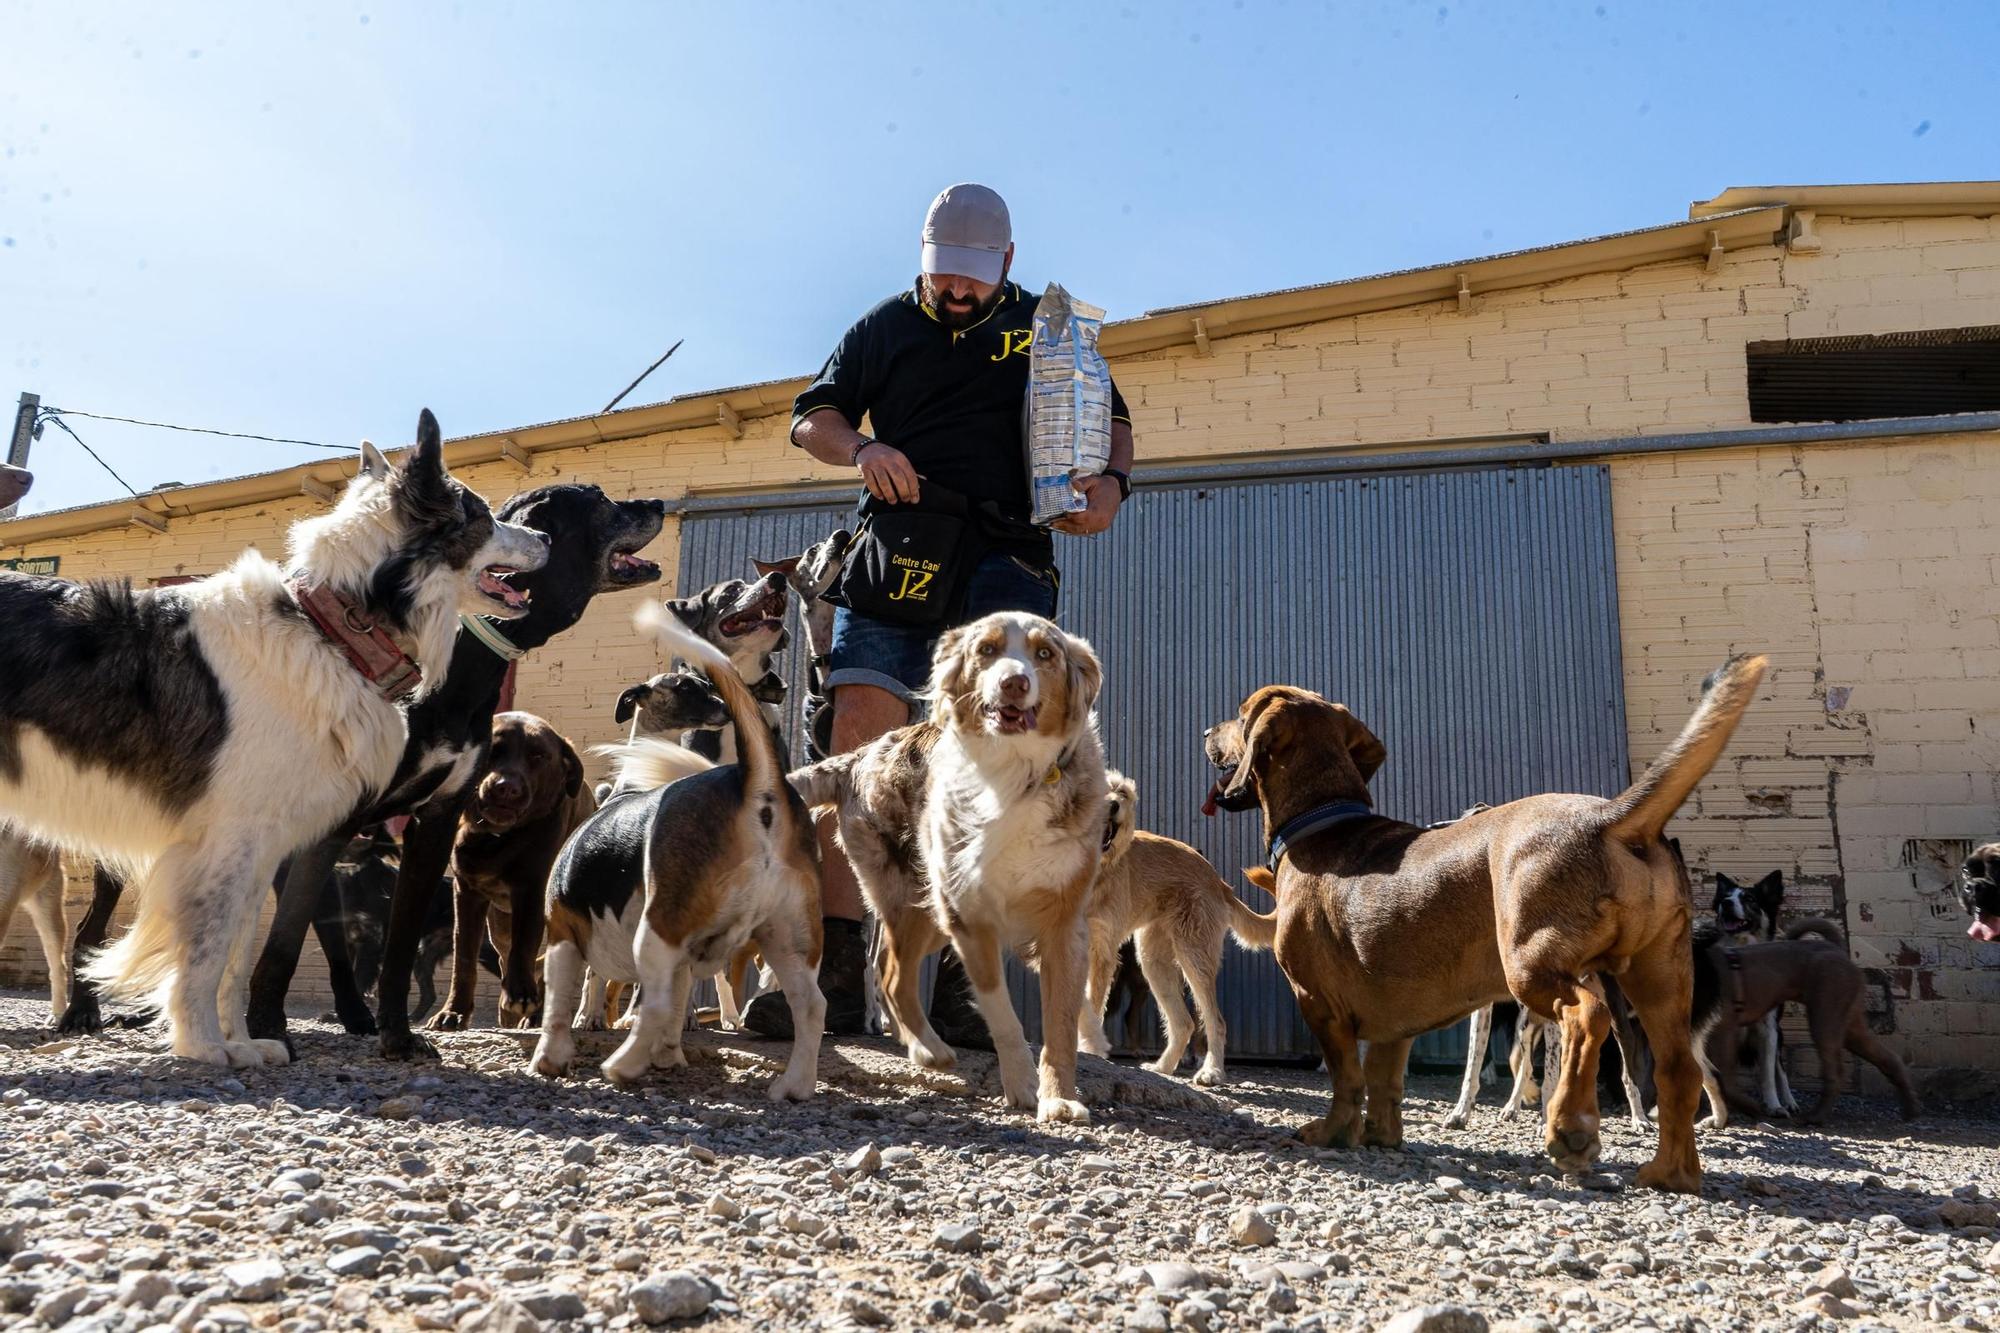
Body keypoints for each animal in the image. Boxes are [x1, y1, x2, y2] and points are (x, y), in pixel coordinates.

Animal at [0, 410, 548, 1064]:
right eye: (484, 513)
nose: (543, 536)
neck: (332, 630)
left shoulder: (260, 845)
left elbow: (236, 958)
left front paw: (242, 1040)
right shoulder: (227, 838)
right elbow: (207, 951)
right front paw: (205, 1046)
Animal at [792, 612, 1112, 1120]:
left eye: (1045, 654)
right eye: (987, 650)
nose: (1015, 682)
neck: (1014, 774)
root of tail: (860, 757)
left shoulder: (1065, 926)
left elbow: (1060, 1028)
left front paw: (1059, 1098)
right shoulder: (968, 917)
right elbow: (1003, 1015)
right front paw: (1021, 1084)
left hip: (927, 914)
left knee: (885, 967)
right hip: (917, 898)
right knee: (892, 975)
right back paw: (930, 1051)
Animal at [1088, 768, 1272, 1080]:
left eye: (1122, 793)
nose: (1112, 806)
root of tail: (1216, 878)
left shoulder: (1101, 951)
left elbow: (1088, 1007)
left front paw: (1088, 1050)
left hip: (1193, 956)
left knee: (1214, 1021)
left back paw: (1212, 1071)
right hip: (1154, 961)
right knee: (1183, 1023)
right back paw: (1163, 1067)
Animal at [1216, 656, 1768, 1192]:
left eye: (1240, 715)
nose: (1206, 730)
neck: (1322, 820)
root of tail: (1608, 818)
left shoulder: (1317, 1003)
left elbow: (1347, 1080)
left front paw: (1333, 1132)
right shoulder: (1394, 1023)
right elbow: (1385, 1081)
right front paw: (1380, 1136)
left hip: (1532, 968)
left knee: (1586, 1016)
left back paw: (1570, 1127)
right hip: (1660, 979)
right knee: (1679, 1071)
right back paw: (1671, 1173)